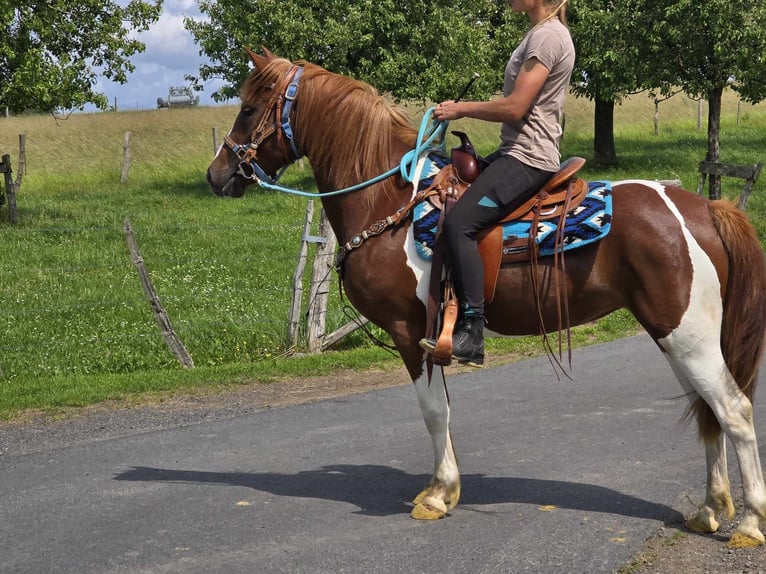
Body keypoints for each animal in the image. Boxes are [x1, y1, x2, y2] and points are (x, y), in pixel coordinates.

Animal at [206, 49, 766, 547]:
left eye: (249, 109)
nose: (217, 175)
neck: (391, 202)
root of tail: (705, 208)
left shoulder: (413, 332)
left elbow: (434, 411)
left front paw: (438, 495)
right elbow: (443, 412)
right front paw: (443, 489)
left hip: (688, 337)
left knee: (733, 409)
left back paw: (748, 524)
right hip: (674, 336)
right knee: (708, 409)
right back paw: (711, 510)